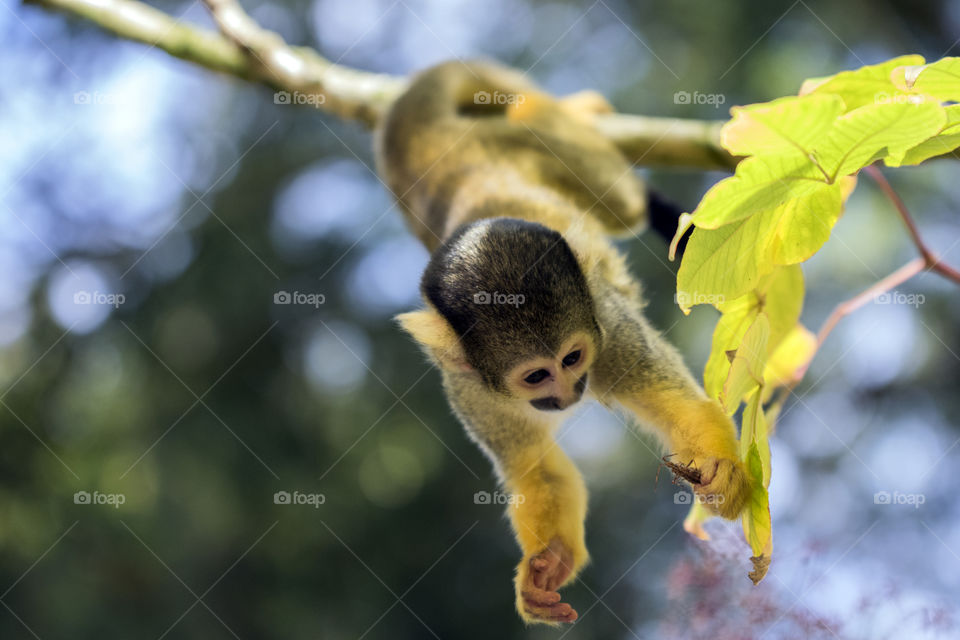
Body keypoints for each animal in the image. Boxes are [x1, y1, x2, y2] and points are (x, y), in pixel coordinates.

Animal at [375, 61, 749, 625]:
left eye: (572, 358)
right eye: (536, 375)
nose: (571, 393)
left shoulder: (609, 332)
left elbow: (683, 408)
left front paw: (718, 471)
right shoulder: (468, 386)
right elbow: (539, 473)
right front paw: (545, 567)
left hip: (546, 146)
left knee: (624, 203)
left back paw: (582, 111)